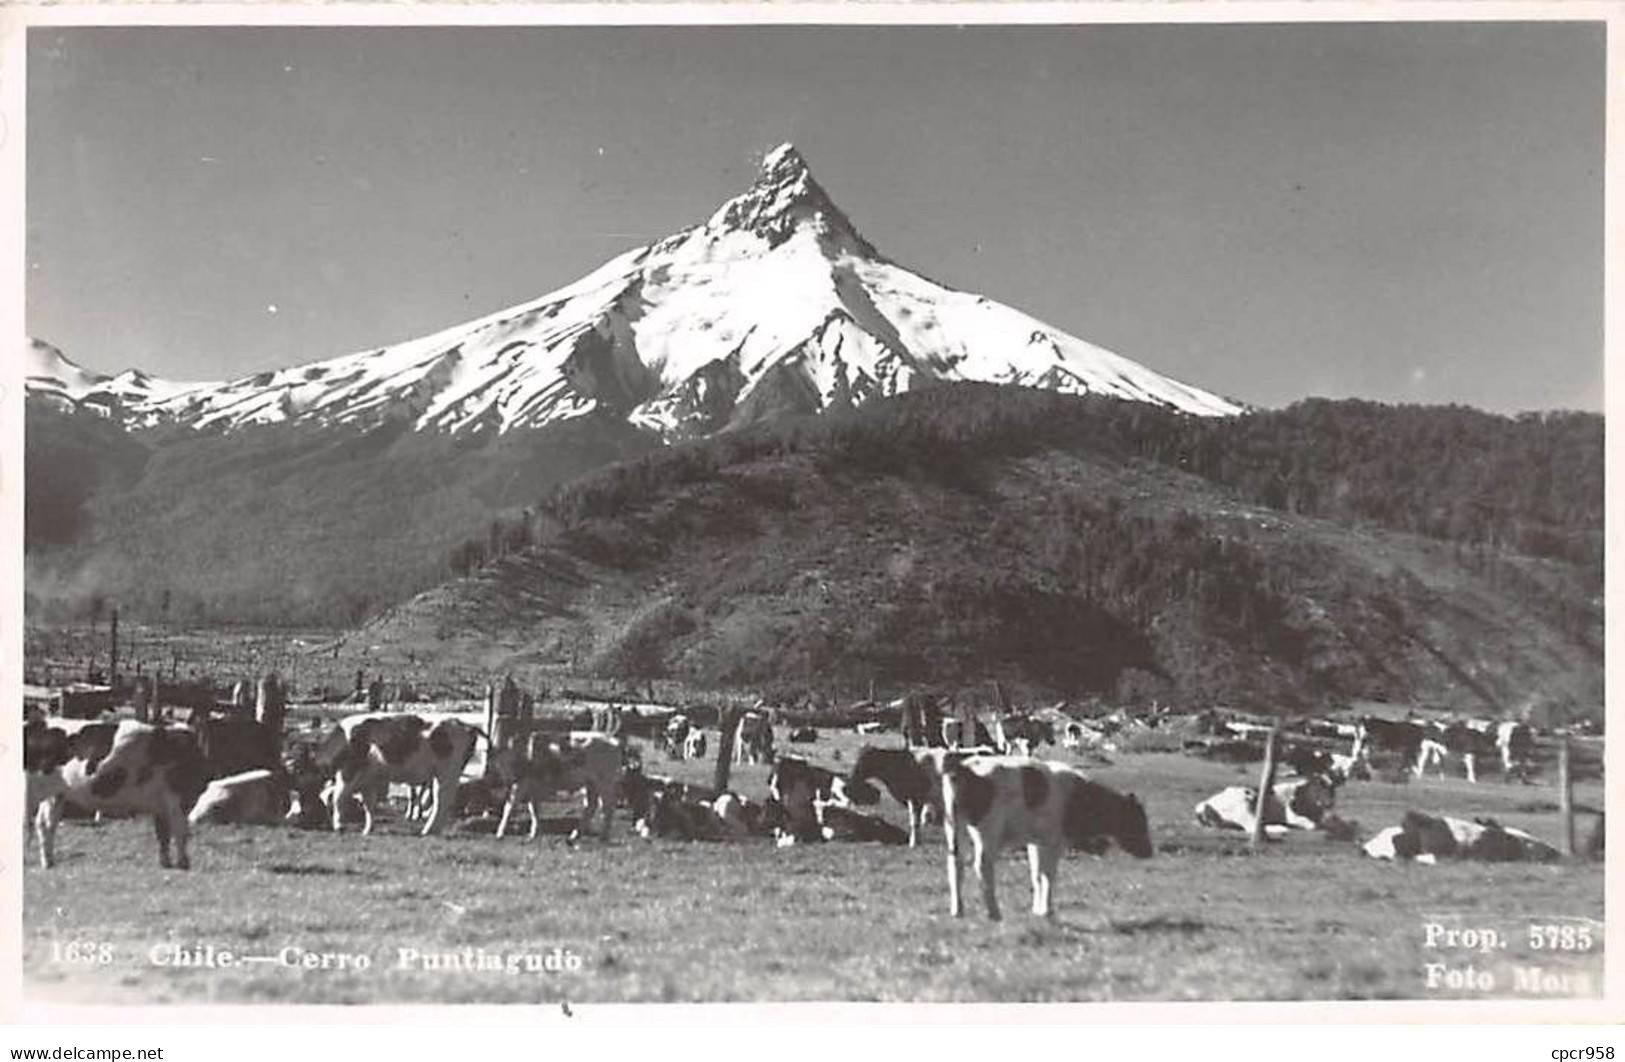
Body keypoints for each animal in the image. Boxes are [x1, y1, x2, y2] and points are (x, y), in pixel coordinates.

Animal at [484, 727, 624, 844]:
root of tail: (613, 741)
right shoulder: (532, 788)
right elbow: (533, 809)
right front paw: (534, 833)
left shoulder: (520, 784)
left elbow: (509, 807)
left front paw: (500, 834)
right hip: (591, 785)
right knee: (591, 807)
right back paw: (574, 836)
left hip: (604, 783)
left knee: (608, 808)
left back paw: (603, 837)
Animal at [942, 756, 1157, 922]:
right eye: (1136, 820)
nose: (1149, 851)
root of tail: (965, 767)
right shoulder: (1054, 841)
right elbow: (1048, 875)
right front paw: (1047, 911)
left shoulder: (1036, 841)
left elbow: (1036, 875)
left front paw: (1037, 910)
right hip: (988, 831)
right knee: (982, 865)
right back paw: (994, 913)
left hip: (953, 826)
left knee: (955, 863)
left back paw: (957, 911)